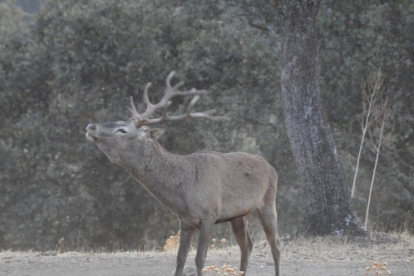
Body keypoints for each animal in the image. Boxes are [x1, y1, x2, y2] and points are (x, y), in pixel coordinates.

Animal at [85, 71, 280, 276]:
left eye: (122, 130)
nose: (91, 126)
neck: (183, 193)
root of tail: (271, 167)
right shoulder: (185, 221)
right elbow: (180, 260)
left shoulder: (209, 214)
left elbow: (199, 259)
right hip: (239, 215)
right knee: (247, 246)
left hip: (268, 203)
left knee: (275, 246)